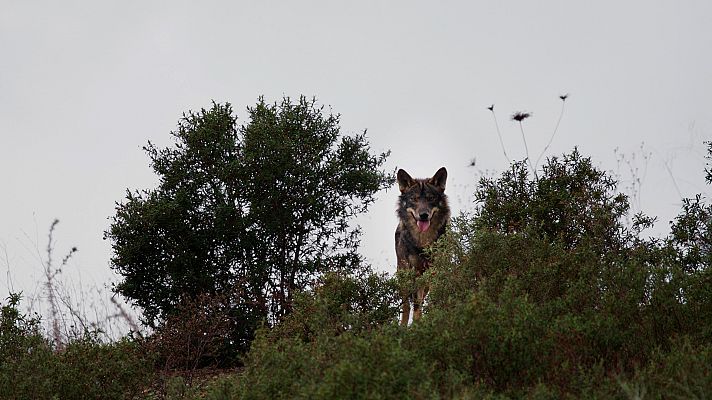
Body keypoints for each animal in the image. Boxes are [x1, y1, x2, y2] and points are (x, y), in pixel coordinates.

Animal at [394, 166, 450, 324]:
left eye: (431, 198)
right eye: (414, 199)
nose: (423, 215)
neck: (424, 241)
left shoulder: (436, 271)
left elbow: (435, 298)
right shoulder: (415, 274)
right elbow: (417, 306)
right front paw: (417, 325)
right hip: (404, 276)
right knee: (406, 306)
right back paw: (402, 325)